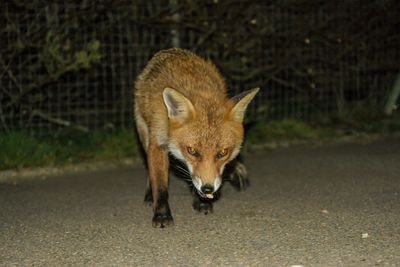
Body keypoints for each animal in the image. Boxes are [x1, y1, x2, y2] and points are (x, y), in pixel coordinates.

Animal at [134, 48, 260, 228]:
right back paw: (149, 195)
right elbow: (159, 184)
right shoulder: (158, 141)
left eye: (223, 153)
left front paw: (202, 202)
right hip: (144, 133)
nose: (208, 189)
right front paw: (162, 213)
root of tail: (170, 50)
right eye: (192, 151)